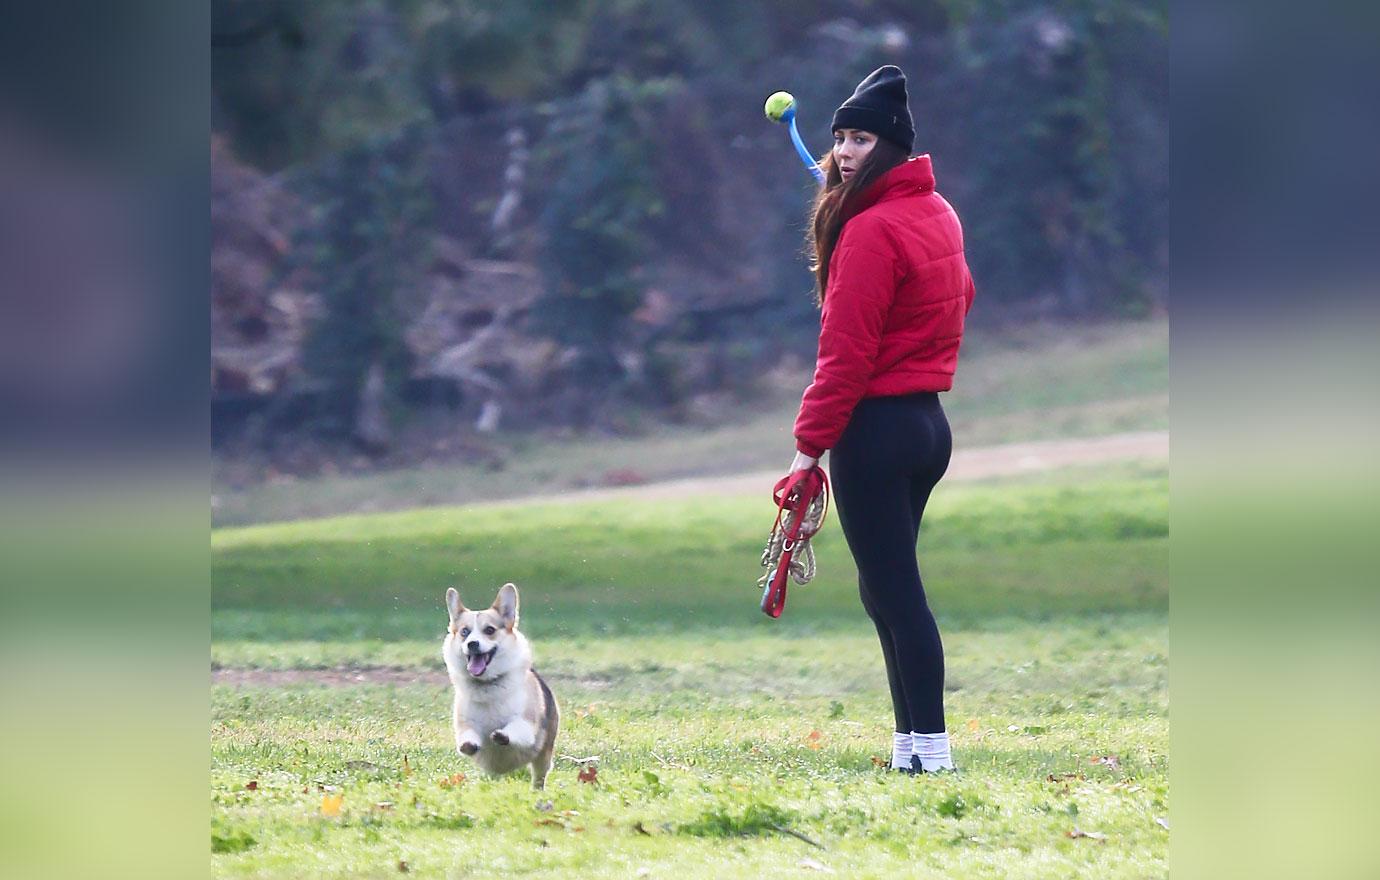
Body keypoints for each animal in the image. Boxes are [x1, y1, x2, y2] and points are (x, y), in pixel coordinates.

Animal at [436, 584, 554, 794]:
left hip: (544, 755)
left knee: (539, 775)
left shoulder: (526, 726)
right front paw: (468, 745)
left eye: (489, 630)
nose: (472, 643)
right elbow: (467, 735)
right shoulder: (465, 724)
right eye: (465, 632)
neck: (488, 685)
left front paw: (502, 735)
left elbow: (514, 729)